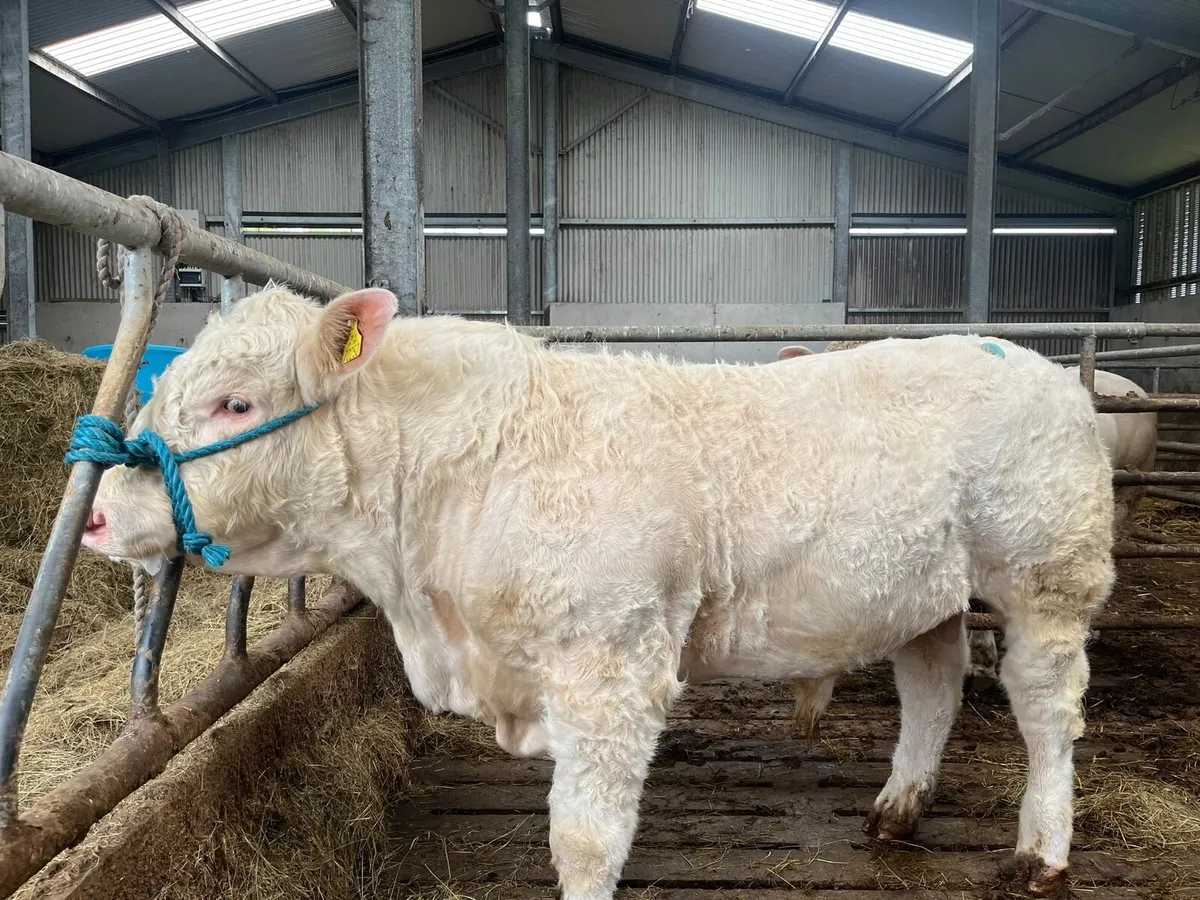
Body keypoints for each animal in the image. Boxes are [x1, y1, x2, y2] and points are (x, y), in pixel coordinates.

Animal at [81, 285, 1115, 899]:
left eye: (237, 404)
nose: (93, 516)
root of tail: (1035, 362)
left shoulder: (610, 661)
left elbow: (584, 837)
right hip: (920, 588)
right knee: (933, 686)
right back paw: (897, 810)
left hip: (1046, 578)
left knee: (1045, 714)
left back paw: (1044, 850)